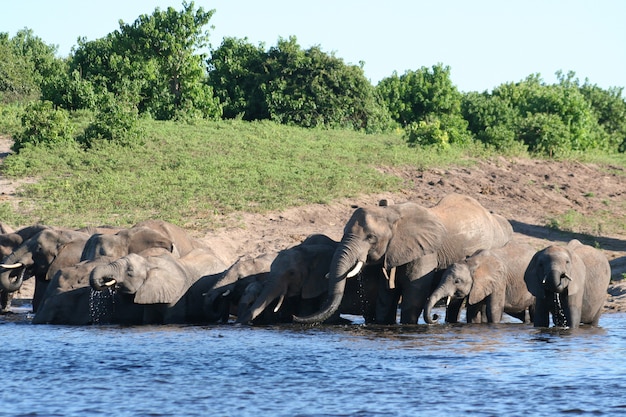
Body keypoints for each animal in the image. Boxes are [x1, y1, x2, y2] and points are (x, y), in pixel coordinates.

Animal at [88, 245, 224, 324]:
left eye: (129, 271)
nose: (104, 281)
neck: (149, 263)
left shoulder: (178, 294)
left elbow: (172, 318)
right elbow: (148, 318)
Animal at [292, 193, 512, 324]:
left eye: (371, 238)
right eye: (344, 232)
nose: (295, 316)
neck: (392, 214)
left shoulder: (426, 252)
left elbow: (414, 295)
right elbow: (385, 296)